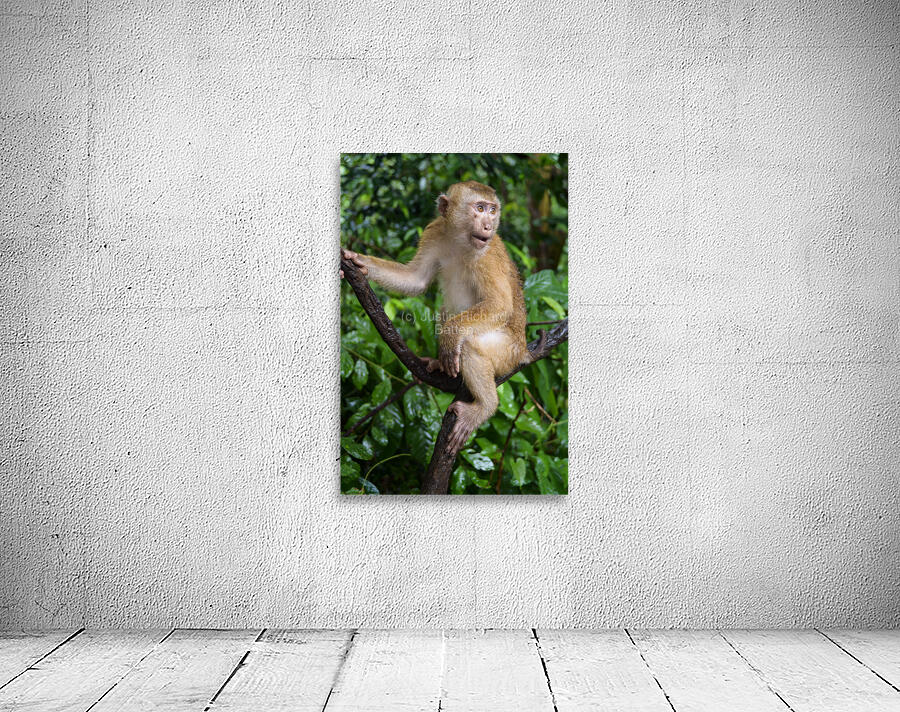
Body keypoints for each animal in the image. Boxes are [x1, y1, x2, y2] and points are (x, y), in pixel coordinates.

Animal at [341, 180, 533, 451]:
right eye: (480, 208)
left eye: (492, 210)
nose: (488, 225)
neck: (461, 240)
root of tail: (523, 350)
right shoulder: (434, 232)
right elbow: (416, 280)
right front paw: (358, 261)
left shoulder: (487, 254)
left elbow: (500, 304)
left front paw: (450, 340)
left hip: (508, 352)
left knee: (470, 344)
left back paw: (485, 406)